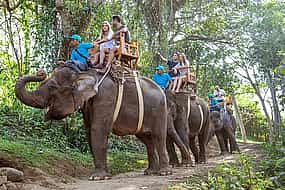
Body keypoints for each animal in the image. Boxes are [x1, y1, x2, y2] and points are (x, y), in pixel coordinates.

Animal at [14, 65, 171, 180]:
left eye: (52, 87)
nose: (41, 72)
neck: (82, 74)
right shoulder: (87, 105)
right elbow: (89, 132)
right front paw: (99, 175)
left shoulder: (106, 97)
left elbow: (97, 130)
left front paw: (97, 177)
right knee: (147, 139)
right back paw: (149, 171)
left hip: (160, 111)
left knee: (159, 137)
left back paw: (163, 172)